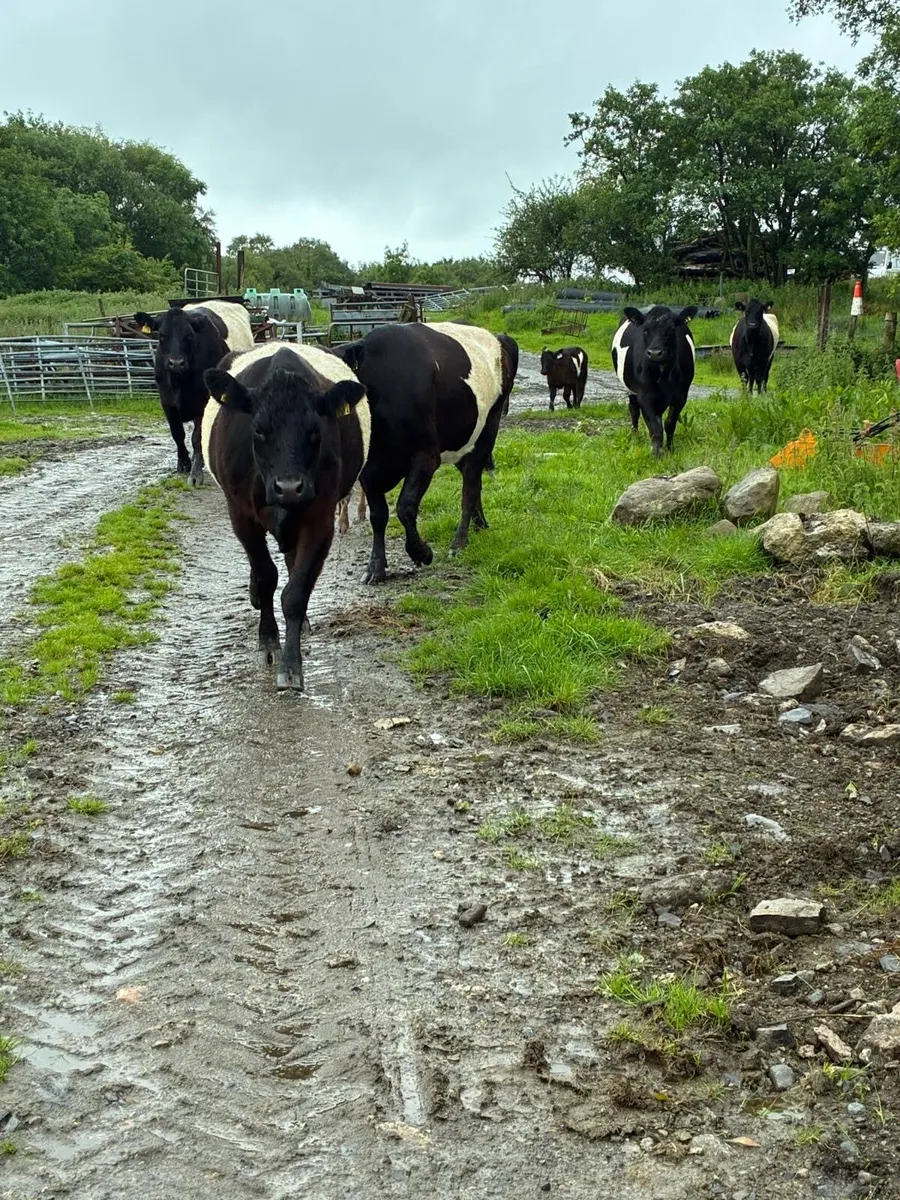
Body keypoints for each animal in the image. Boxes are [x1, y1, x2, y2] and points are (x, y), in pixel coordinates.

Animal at [134, 300, 254, 486]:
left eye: (189, 336)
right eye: (162, 336)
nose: (176, 363)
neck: (179, 382)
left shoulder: (203, 401)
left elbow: (196, 437)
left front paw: (196, 472)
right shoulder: (166, 402)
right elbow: (177, 433)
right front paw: (184, 463)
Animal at [201, 342, 370, 692]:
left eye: (315, 432)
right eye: (258, 431)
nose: (289, 487)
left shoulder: (320, 517)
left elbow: (296, 591)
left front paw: (292, 667)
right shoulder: (240, 514)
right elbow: (266, 575)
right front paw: (268, 641)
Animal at [336, 322, 518, 584]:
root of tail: (498, 337)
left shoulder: (425, 456)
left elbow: (405, 507)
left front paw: (421, 552)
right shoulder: (368, 470)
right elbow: (378, 515)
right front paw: (375, 567)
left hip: (487, 429)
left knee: (470, 486)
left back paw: (459, 543)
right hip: (461, 440)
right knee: (474, 482)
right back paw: (479, 524)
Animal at [611, 305, 698, 455]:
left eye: (671, 329)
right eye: (645, 329)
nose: (655, 353)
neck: (664, 375)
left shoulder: (681, 396)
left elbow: (669, 424)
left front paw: (670, 449)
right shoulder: (645, 396)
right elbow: (655, 428)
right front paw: (656, 454)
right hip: (631, 390)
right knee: (633, 409)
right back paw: (635, 436)